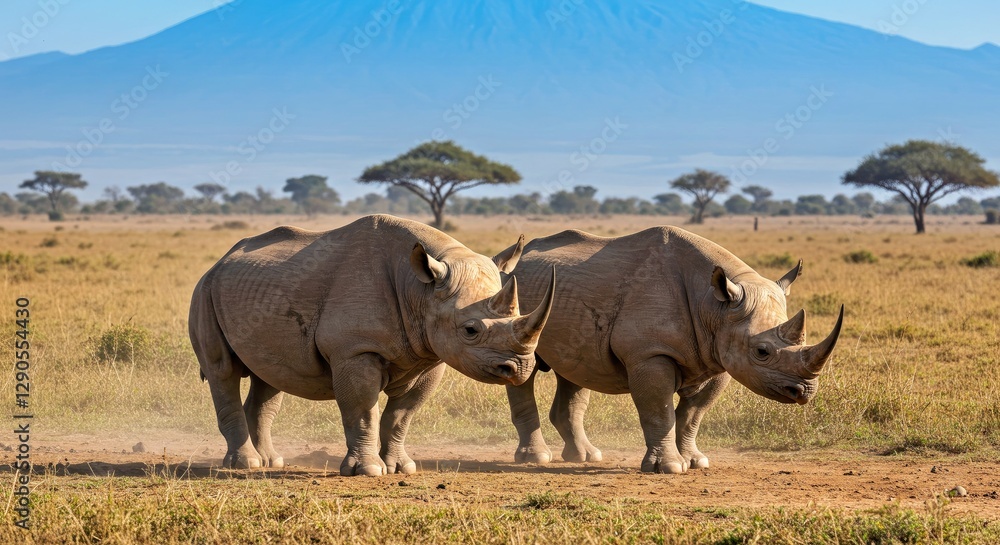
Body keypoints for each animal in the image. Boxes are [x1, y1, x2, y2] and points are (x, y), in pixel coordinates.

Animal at [189, 215, 554, 476]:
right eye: (470, 330)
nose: (520, 367)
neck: (420, 289)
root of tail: (219, 261)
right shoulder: (356, 349)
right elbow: (363, 409)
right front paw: (367, 471)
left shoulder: (431, 355)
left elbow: (401, 415)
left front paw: (401, 467)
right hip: (204, 291)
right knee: (223, 371)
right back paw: (245, 464)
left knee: (270, 376)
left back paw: (270, 462)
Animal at [502, 226, 843, 473]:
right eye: (762, 351)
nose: (804, 391)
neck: (714, 306)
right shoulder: (650, 353)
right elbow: (659, 411)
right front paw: (668, 468)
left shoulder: (718, 356)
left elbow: (693, 415)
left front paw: (696, 461)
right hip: (518, 306)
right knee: (523, 368)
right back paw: (536, 459)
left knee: (575, 371)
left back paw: (586, 457)